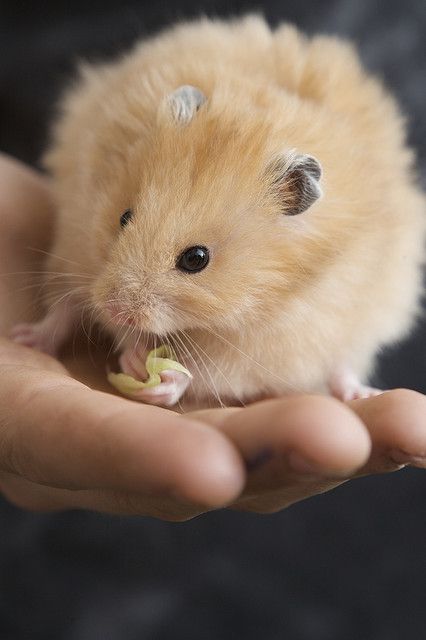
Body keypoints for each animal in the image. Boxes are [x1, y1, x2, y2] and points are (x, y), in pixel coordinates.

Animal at [10, 16, 426, 410]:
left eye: (196, 259)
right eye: (123, 217)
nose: (115, 311)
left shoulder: (273, 339)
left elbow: (209, 370)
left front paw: (154, 374)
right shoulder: (80, 235)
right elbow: (76, 305)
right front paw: (131, 352)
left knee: (341, 363)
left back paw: (360, 394)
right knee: (64, 307)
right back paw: (27, 337)